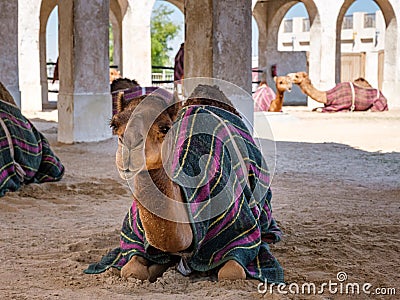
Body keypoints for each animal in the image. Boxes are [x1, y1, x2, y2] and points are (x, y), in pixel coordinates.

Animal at [85, 84, 282, 284]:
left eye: (164, 127)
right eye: (114, 124)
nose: (129, 149)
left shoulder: (239, 234)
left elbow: (231, 272)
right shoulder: (134, 235)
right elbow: (131, 270)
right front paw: (159, 267)